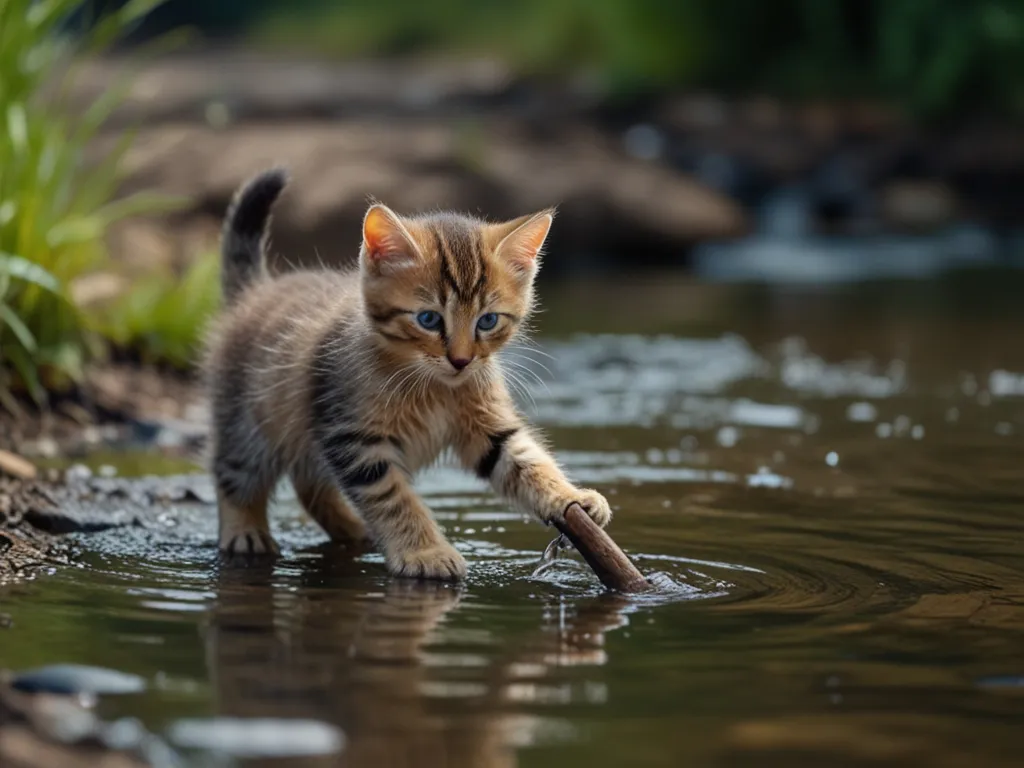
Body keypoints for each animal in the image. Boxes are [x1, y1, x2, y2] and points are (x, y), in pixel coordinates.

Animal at [203, 166, 610, 577]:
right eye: (428, 319)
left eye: (487, 321)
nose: (461, 360)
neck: (432, 385)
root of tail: (256, 290)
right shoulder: (353, 439)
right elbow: (393, 498)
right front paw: (425, 552)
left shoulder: (489, 428)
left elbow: (524, 459)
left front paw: (571, 497)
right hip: (247, 421)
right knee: (233, 471)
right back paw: (245, 530)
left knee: (309, 484)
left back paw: (352, 527)